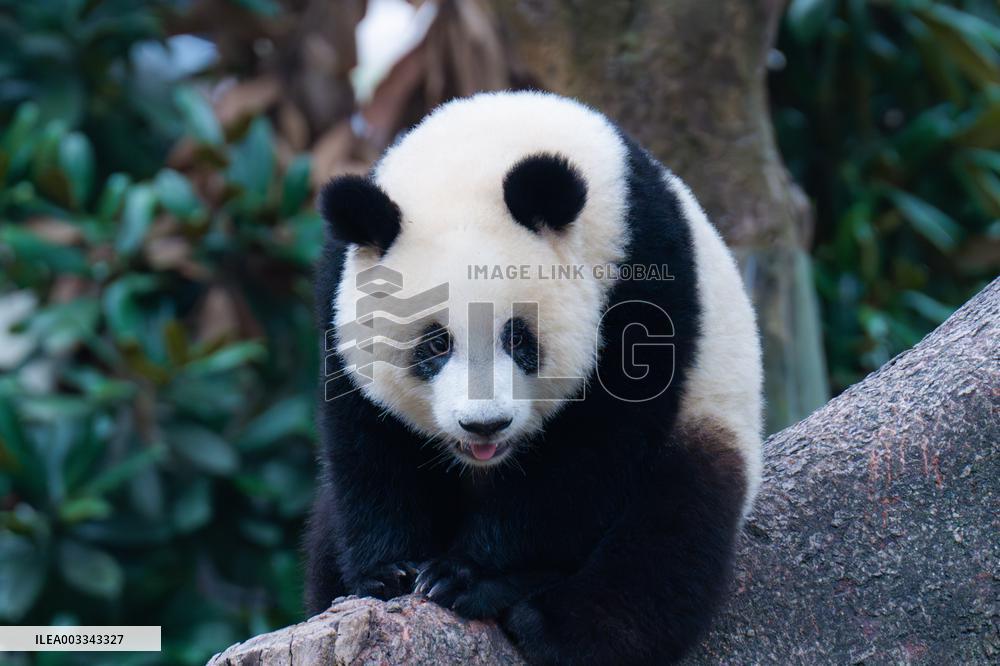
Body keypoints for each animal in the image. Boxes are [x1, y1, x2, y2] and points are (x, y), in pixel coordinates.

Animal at [306, 91, 762, 664]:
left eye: (518, 339)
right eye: (435, 344)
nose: (484, 426)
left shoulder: (642, 276)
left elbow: (588, 451)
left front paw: (468, 576)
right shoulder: (337, 293)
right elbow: (368, 442)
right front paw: (389, 571)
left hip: (711, 418)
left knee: (670, 535)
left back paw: (552, 623)